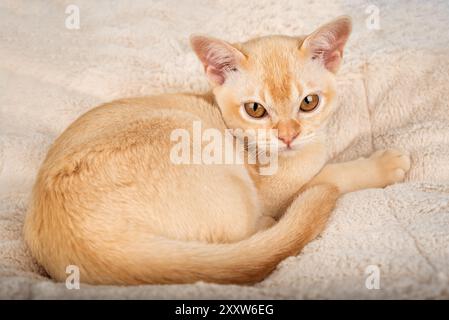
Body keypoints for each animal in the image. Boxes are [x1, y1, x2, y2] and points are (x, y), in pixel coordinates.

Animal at [23, 16, 410, 284]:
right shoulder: (273, 189)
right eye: (255, 109)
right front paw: (383, 165)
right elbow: (329, 172)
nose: (288, 136)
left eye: (309, 102)